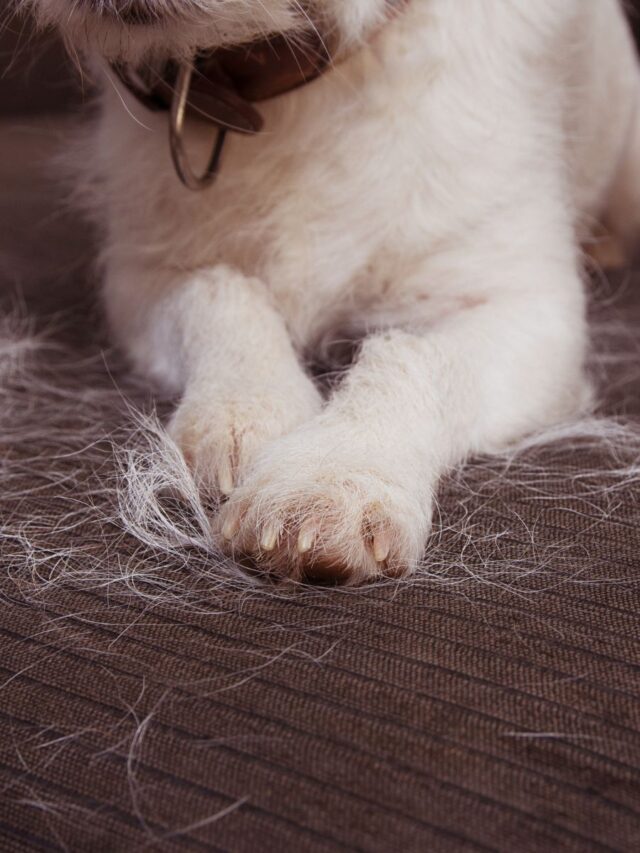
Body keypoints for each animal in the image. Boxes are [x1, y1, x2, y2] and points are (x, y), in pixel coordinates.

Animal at [22, 0, 640, 580]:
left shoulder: (529, 308)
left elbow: (418, 356)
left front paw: (332, 476)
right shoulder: (143, 279)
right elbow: (221, 294)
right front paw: (244, 409)